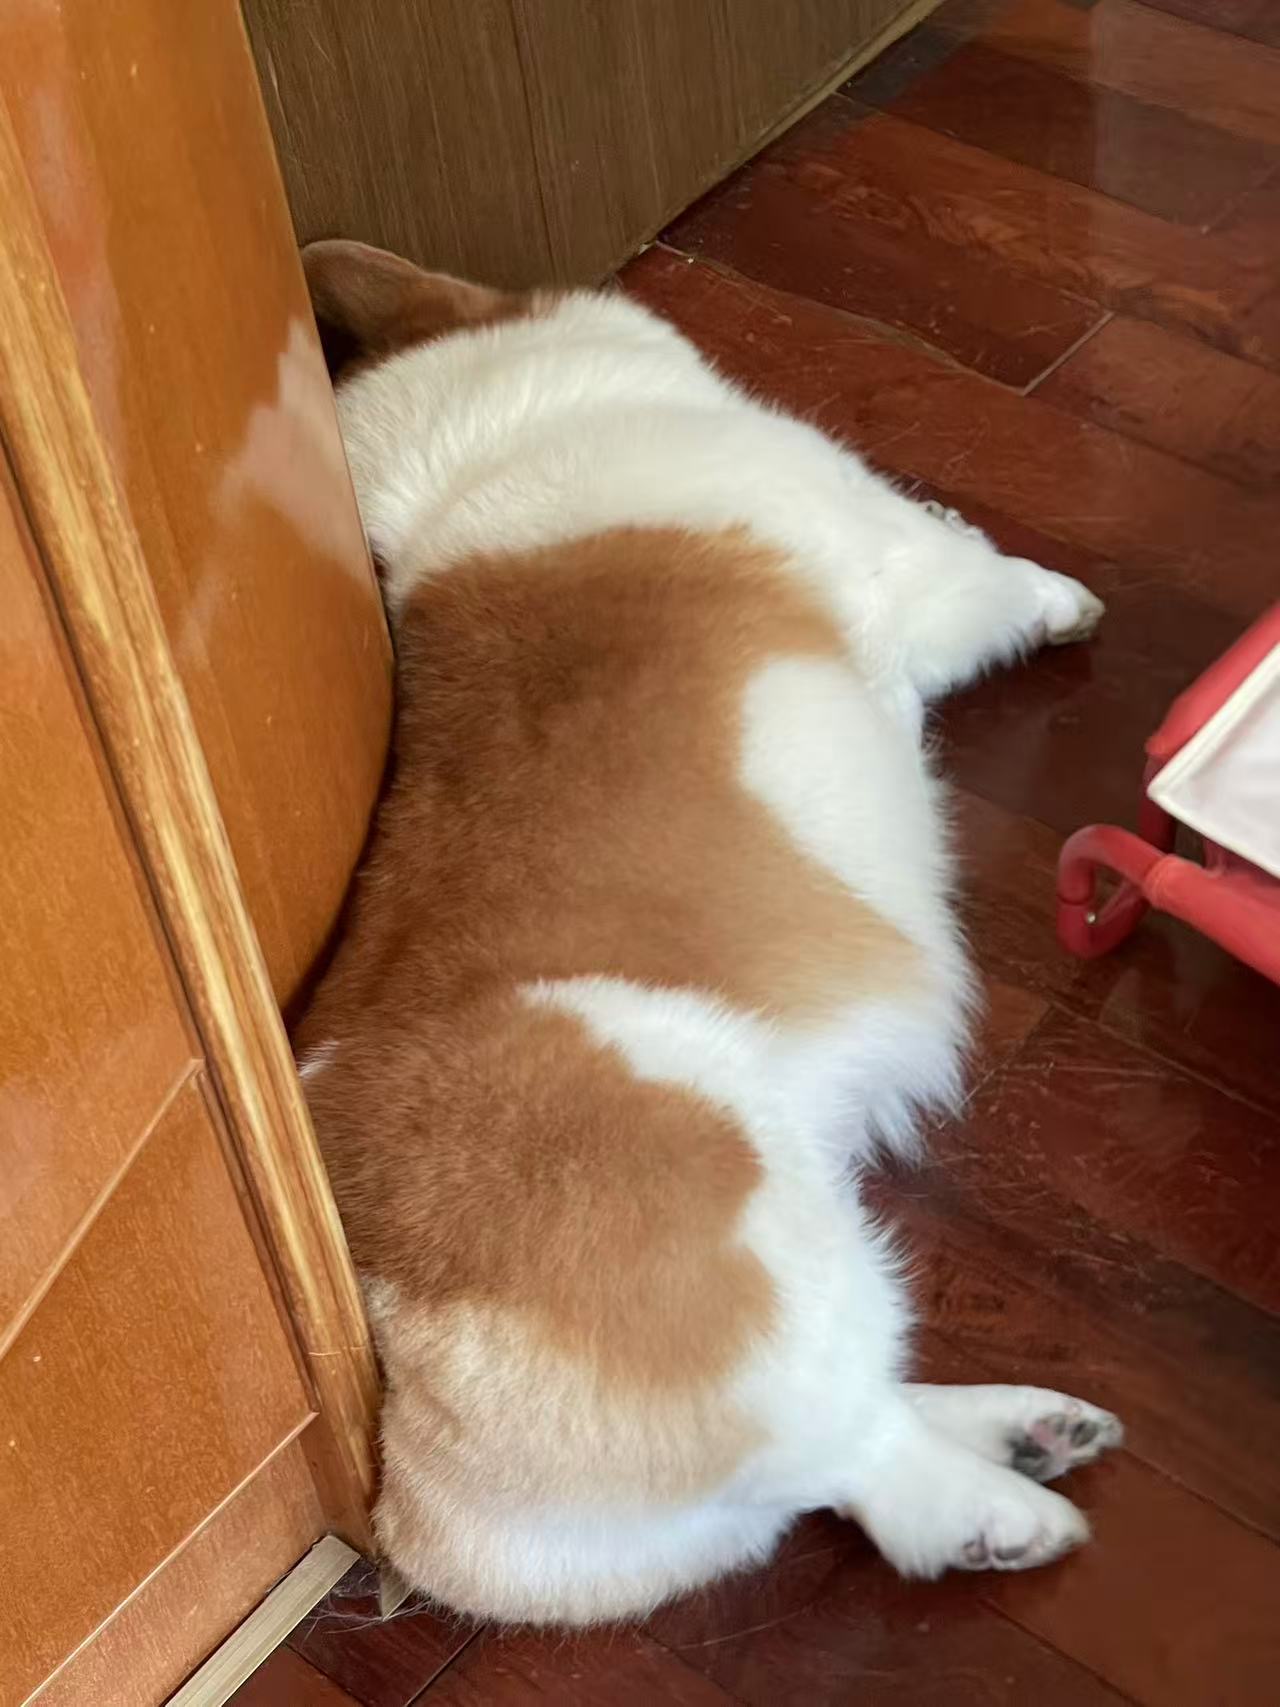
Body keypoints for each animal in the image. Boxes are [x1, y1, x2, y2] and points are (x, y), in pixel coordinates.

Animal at [294, 239, 1121, 1626]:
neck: (488, 440)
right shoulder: (904, 560)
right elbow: (985, 570)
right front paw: (1059, 597)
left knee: (831, 1453)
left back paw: (1016, 1432)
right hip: (736, 1204)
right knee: (858, 1455)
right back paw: (1003, 1506)